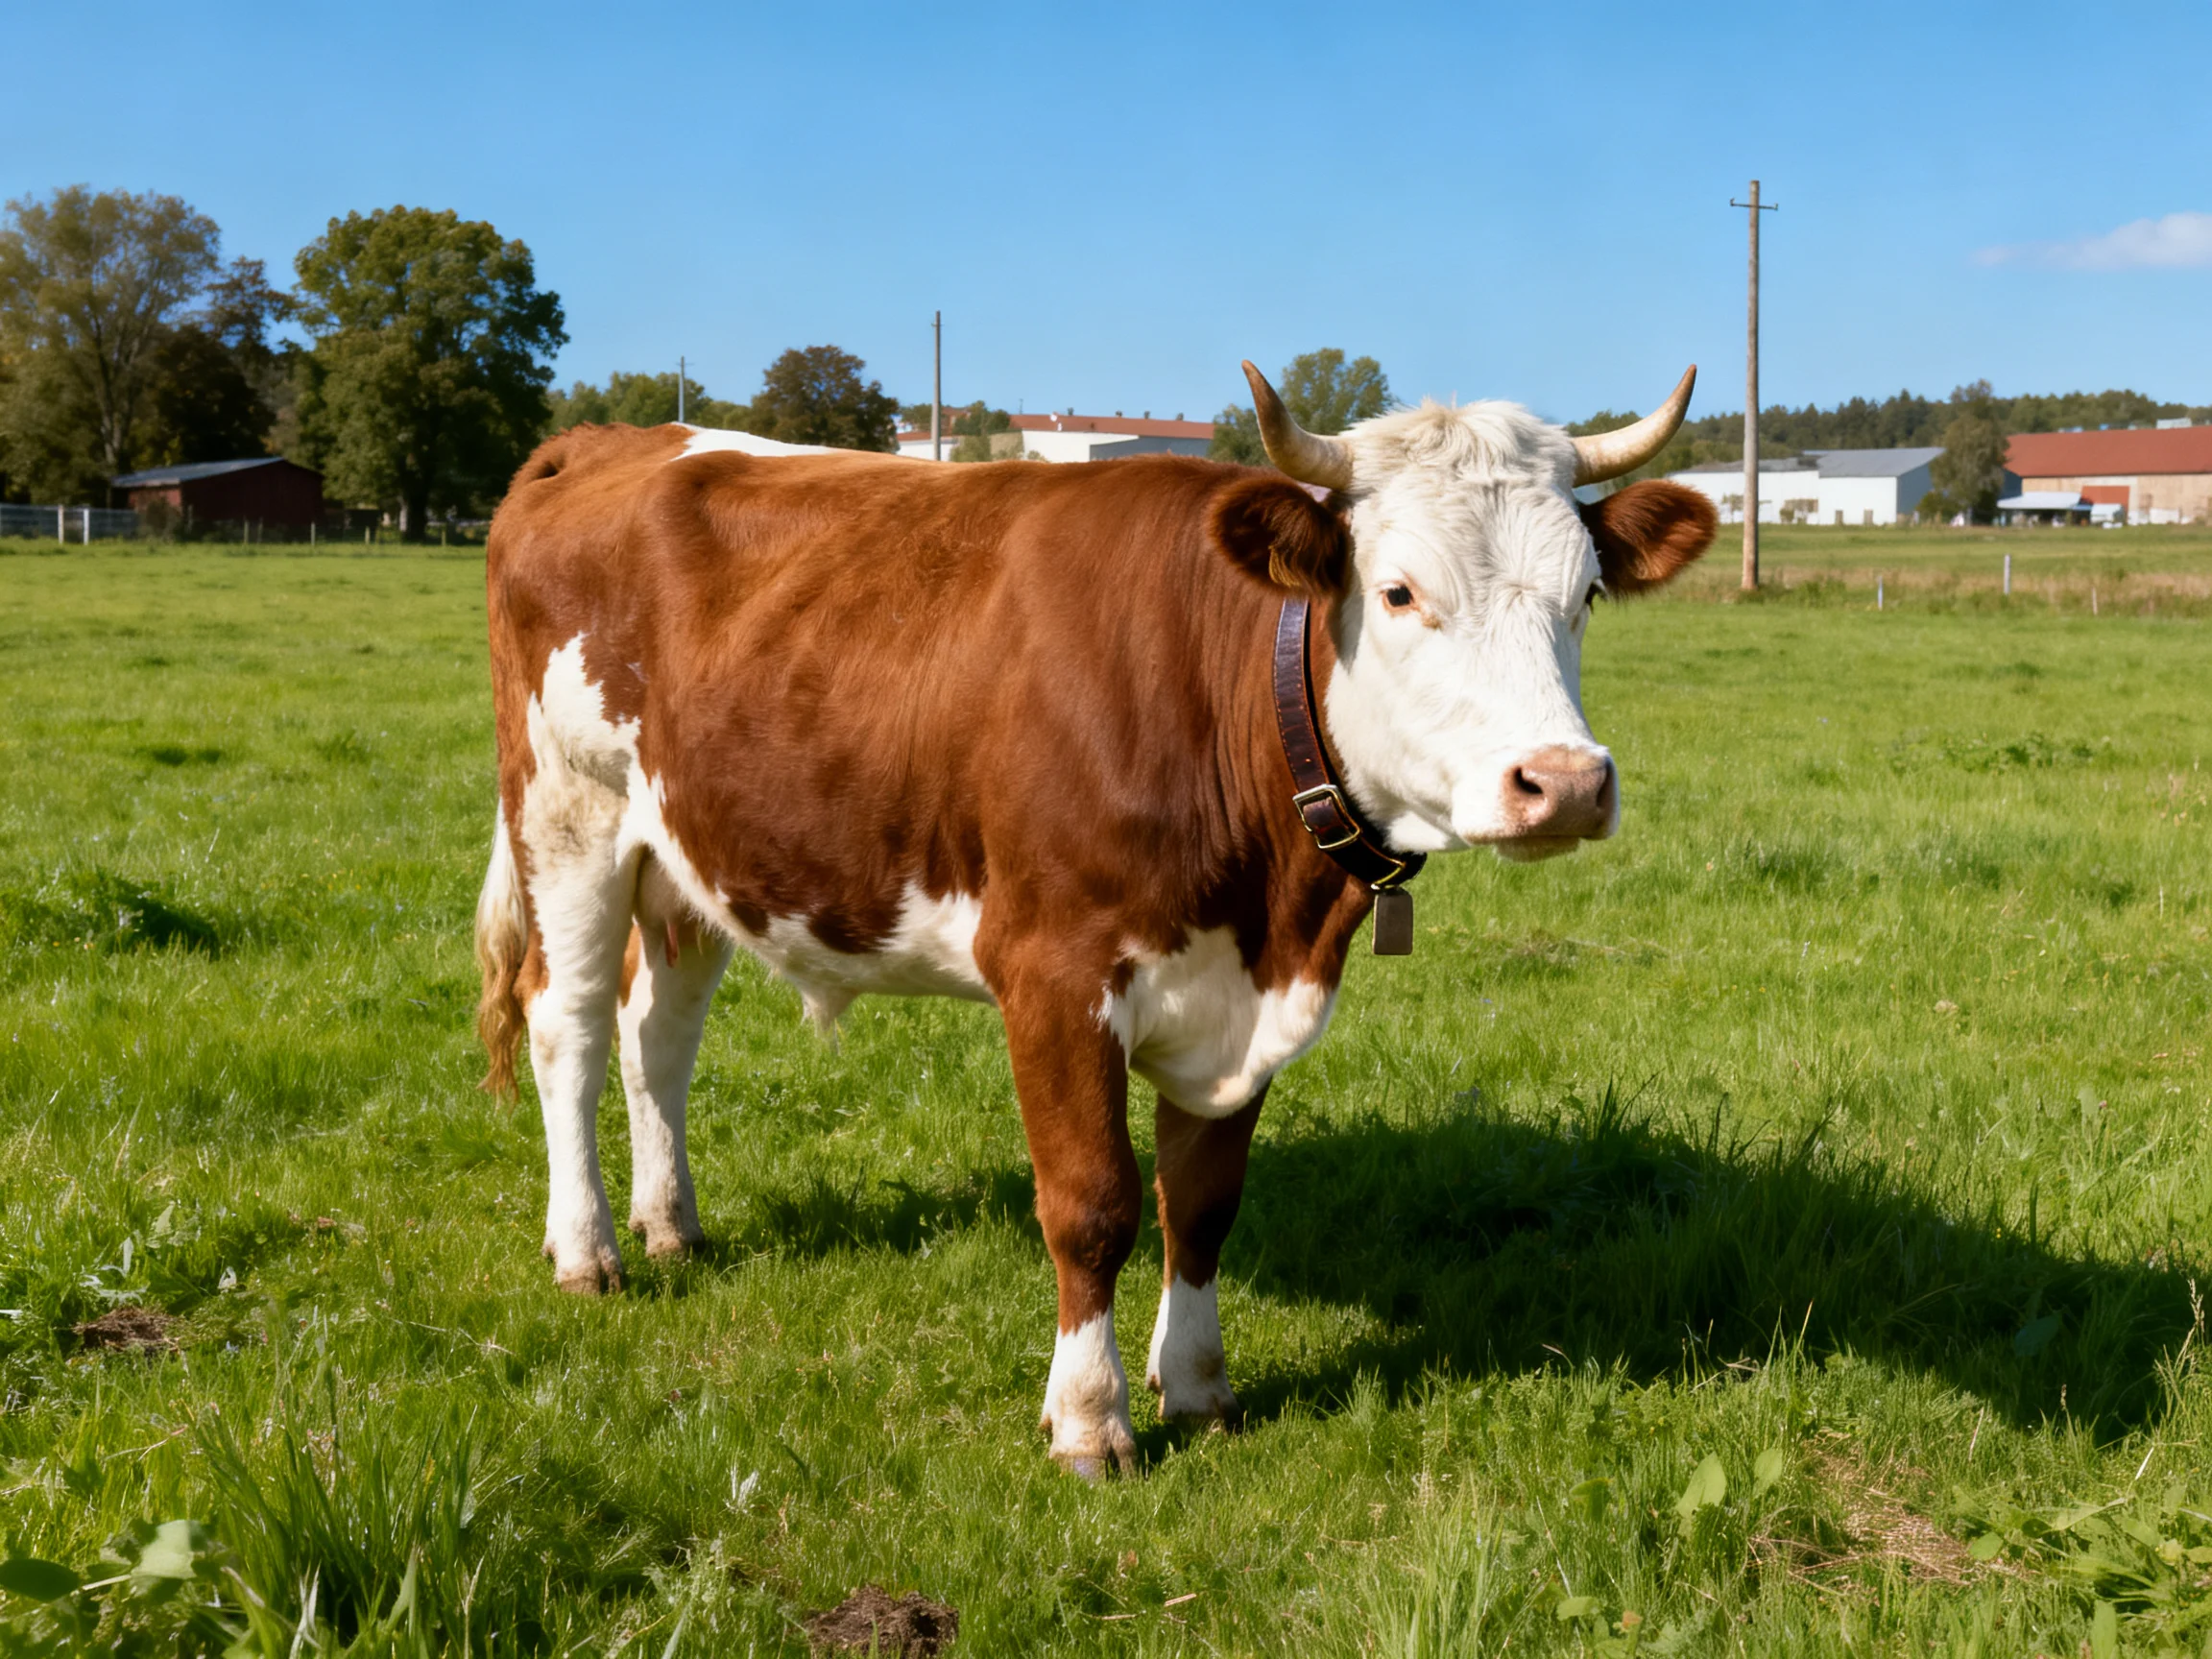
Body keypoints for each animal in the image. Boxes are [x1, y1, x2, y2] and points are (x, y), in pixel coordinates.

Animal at [474, 362, 1716, 1476]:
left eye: (1586, 595)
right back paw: (589, 1249)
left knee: (658, 1034)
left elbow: (1202, 1203)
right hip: (566, 813)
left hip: (691, 850)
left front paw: (1202, 1390)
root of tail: (606, 438)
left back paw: (671, 1224)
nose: (1564, 782)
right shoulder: (1053, 975)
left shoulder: (1240, 992)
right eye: (1403, 592)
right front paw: (1089, 1419)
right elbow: (1093, 1204)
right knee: (568, 1025)